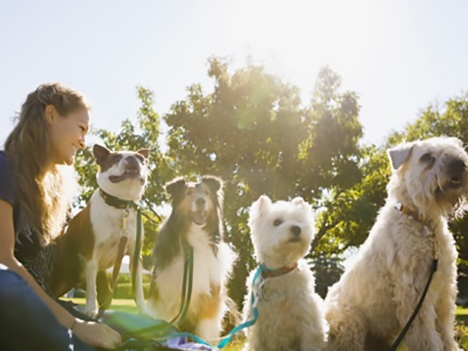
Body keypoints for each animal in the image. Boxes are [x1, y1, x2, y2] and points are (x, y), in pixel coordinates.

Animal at [51, 144, 150, 318]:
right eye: (116, 157)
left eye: (141, 159)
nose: (132, 158)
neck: (121, 205)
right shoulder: (92, 254)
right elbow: (92, 289)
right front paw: (91, 309)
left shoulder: (135, 256)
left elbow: (138, 288)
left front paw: (144, 311)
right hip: (60, 278)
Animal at [148, 177, 238, 342]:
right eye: (188, 193)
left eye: (207, 193)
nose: (201, 201)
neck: (194, 241)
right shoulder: (167, 299)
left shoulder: (211, 300)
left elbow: (206, 331)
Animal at [243, 195, 328, 351]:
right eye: (277, 222)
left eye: (299, 220)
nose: (297, 228)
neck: (280, 271)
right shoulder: (257, 325)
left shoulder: (308, 320)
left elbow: (310, 342)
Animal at [326, 136, 468, 350]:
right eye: (427, 157)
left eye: (453, 148)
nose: (459, 164)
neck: (423, 223)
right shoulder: (415, 292)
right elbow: (427, 336)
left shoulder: (444, 289)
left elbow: (445, 331)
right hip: (348, 321)